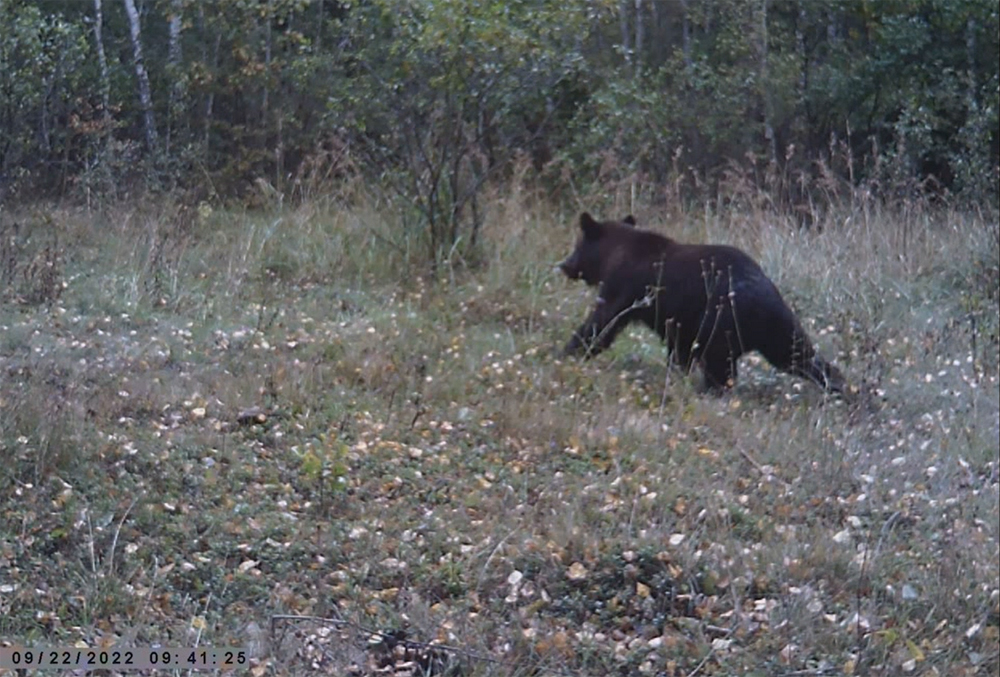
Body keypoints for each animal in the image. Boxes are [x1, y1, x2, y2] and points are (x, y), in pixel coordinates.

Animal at [560, 210, 848, 390]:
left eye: (577, 245)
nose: (563, 264)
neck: (613, 256)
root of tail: (768, 296)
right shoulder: (680, 322)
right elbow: (679, 349)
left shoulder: (627, 288)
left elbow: (603, 322)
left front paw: (569, 350)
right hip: (778, 326)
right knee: (799, 353)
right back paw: (840, 387)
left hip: (721, 320)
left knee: (720, 363)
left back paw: (712, 390)